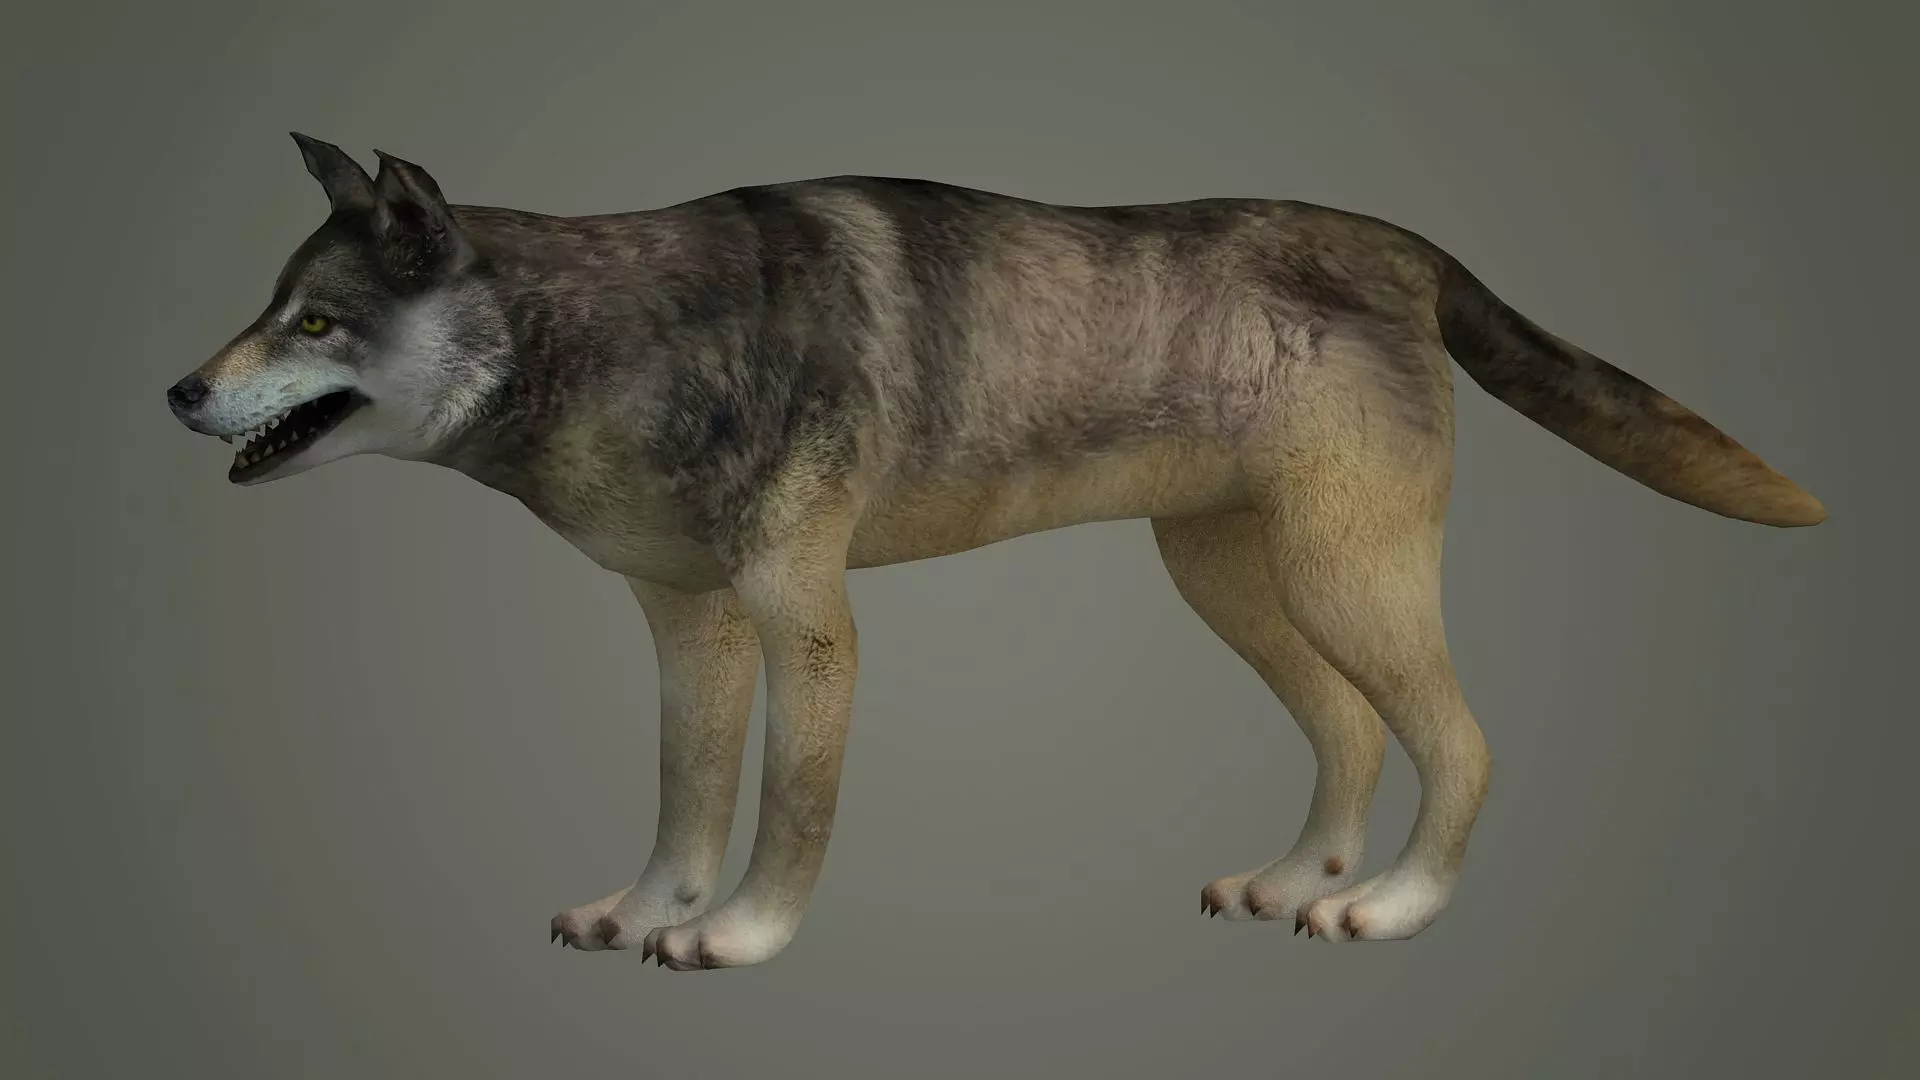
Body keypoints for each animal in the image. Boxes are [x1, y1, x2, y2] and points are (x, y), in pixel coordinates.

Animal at [166, 134, 1825, 970]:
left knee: (1462, 745)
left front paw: (740, 936)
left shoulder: (809, 626)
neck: (625, 333)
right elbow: (685, 802)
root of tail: (1409, 243)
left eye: (316, 321)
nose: (177, 391)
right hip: (1239, 585)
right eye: (268, 305)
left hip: (1342, 583)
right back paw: (1291, 882)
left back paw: (1391, 907)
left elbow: (787, 812)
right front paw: (647, 916)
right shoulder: (690, 630)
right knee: (1354, 737)